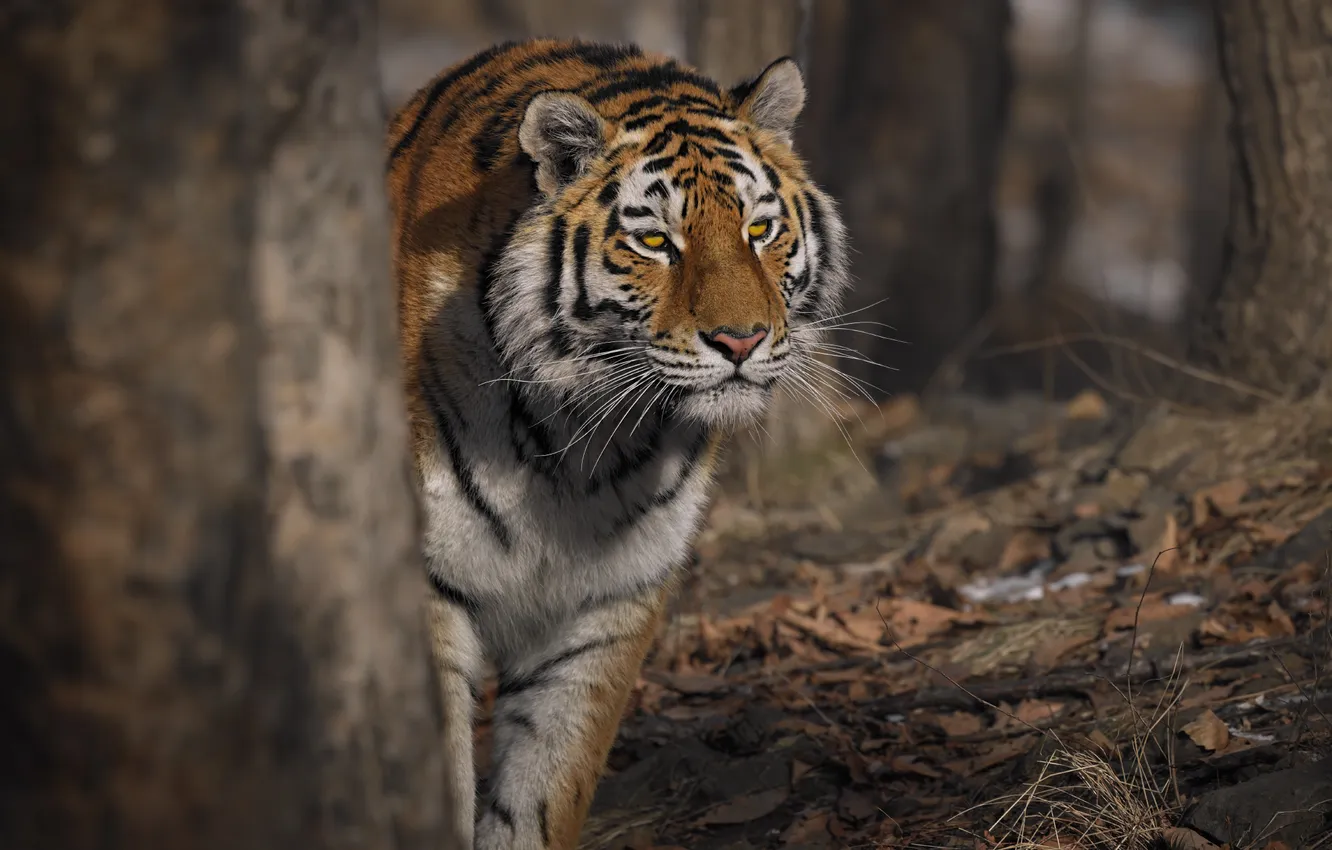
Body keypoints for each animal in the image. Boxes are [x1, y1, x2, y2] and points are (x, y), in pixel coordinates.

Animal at [385, 38, 850, 850]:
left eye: (760, 231)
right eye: (657, 241)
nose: (742, 340)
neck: (577, 440)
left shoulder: (609, 601)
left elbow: (545, 789)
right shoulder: (428, 594)